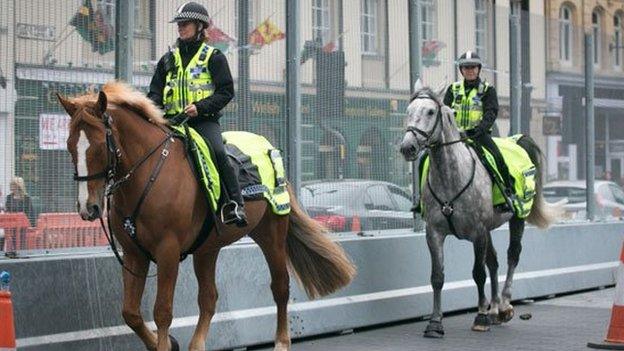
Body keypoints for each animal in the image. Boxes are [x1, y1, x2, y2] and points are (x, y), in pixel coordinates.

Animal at [59, 83, 356, 351]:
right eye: (70, 145)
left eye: (99, 146)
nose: (88, 207)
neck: (150, 174)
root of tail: (269, 147)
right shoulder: (134, 254)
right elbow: (130, 313)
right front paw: (166, 343)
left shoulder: (167, 251)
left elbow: (162, 311)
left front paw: (165, 344)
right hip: (207, 249)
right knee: (209, 298)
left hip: (271, 235)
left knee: (280, 286)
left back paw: (282, 342)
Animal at [402, 82, 560, 338]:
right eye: (408, 110)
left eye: (430, 112)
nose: (408, 147)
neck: (451, 177)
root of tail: (517, 141)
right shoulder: (435, 233)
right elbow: (437, 277)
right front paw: (435, 323)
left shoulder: (477, 232)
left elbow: (478, 273)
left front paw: (481, 317)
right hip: (488, 230)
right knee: (494, 261)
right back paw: (494, 309)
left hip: (516, 218)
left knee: (512, 255)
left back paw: (504, 305)